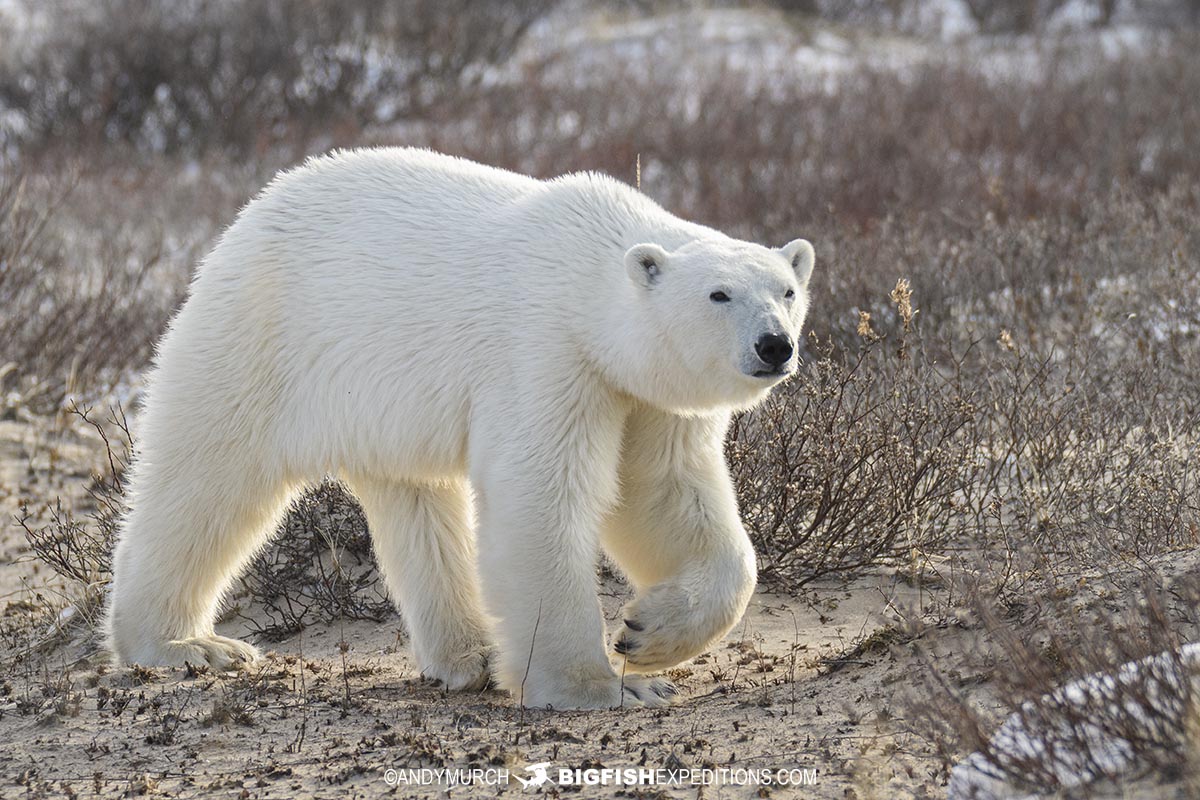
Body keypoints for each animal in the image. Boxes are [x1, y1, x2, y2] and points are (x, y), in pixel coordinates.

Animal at [108, 146, 816, 710]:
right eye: (719, 294)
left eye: (785, 289)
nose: (774, 346)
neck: (585, 275)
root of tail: (245, 218)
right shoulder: (545, 353)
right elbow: (541, 500)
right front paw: (603, 686)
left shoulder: (644, 393)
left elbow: (665, 495)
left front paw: (648, 635)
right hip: (261, 338)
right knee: (210, 477)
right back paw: (187, 644)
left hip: (384, 405)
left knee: (418, 508)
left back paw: (467, 658)